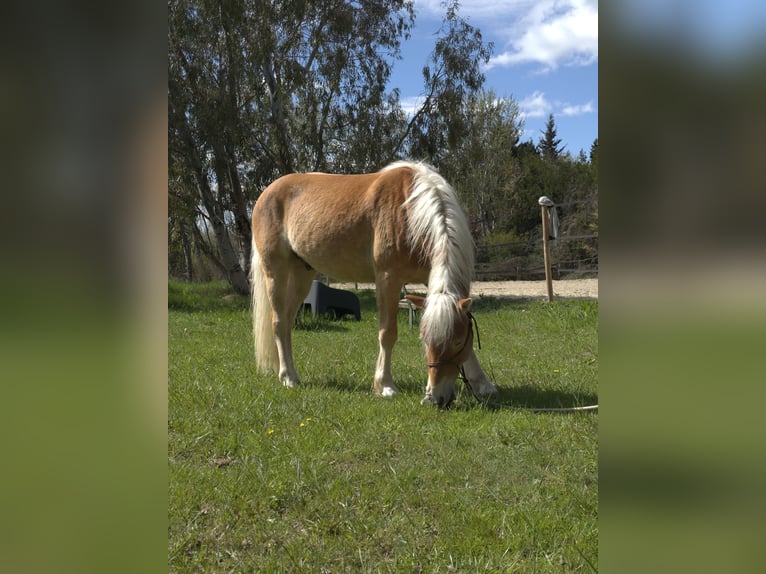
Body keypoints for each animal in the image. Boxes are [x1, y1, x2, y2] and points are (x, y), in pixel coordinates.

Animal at [252, 160, 500, 408]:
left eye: (457, 342)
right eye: (424, 340)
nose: (436, 398)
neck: (410, 211)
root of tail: (267, 193)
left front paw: (483, 385)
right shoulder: (388, 279)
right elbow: (387, 333)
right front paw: (386, 386)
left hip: (302, 274)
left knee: (287, 322)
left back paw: (288, 372)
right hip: (275, 271)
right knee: (278, 322)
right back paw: (288, 377)